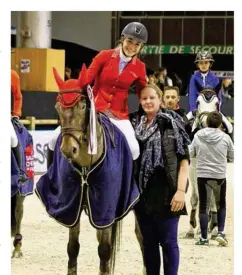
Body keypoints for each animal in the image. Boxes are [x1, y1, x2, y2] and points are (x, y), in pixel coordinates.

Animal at [35, 65, 139, 275]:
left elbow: (105, 251)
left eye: (83, 107)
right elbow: (73, 248)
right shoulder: (71, 205)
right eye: (57, 107)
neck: (84, 164)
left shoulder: (105, 208)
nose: (68, 149)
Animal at [185, 88, 229, 239]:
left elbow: (212, 198)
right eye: (198, 102)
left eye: (216, 103)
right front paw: (192, 228)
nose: (206, 122)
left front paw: (214, 228)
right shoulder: (193, 170)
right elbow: (195, 198)